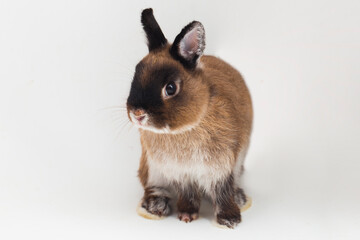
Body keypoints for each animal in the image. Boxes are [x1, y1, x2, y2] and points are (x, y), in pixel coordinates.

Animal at [126, 7, 253, 229]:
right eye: (134, 76)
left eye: (170, 88)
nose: (138, 114)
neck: (186, 128)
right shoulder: (181, 173)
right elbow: (188, 193)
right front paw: (187, 214)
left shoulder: (223, 167)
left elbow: (223, 192)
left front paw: (230, 219)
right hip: (151, 167)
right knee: (151, 186)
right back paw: (155, 207)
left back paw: (239, 198)